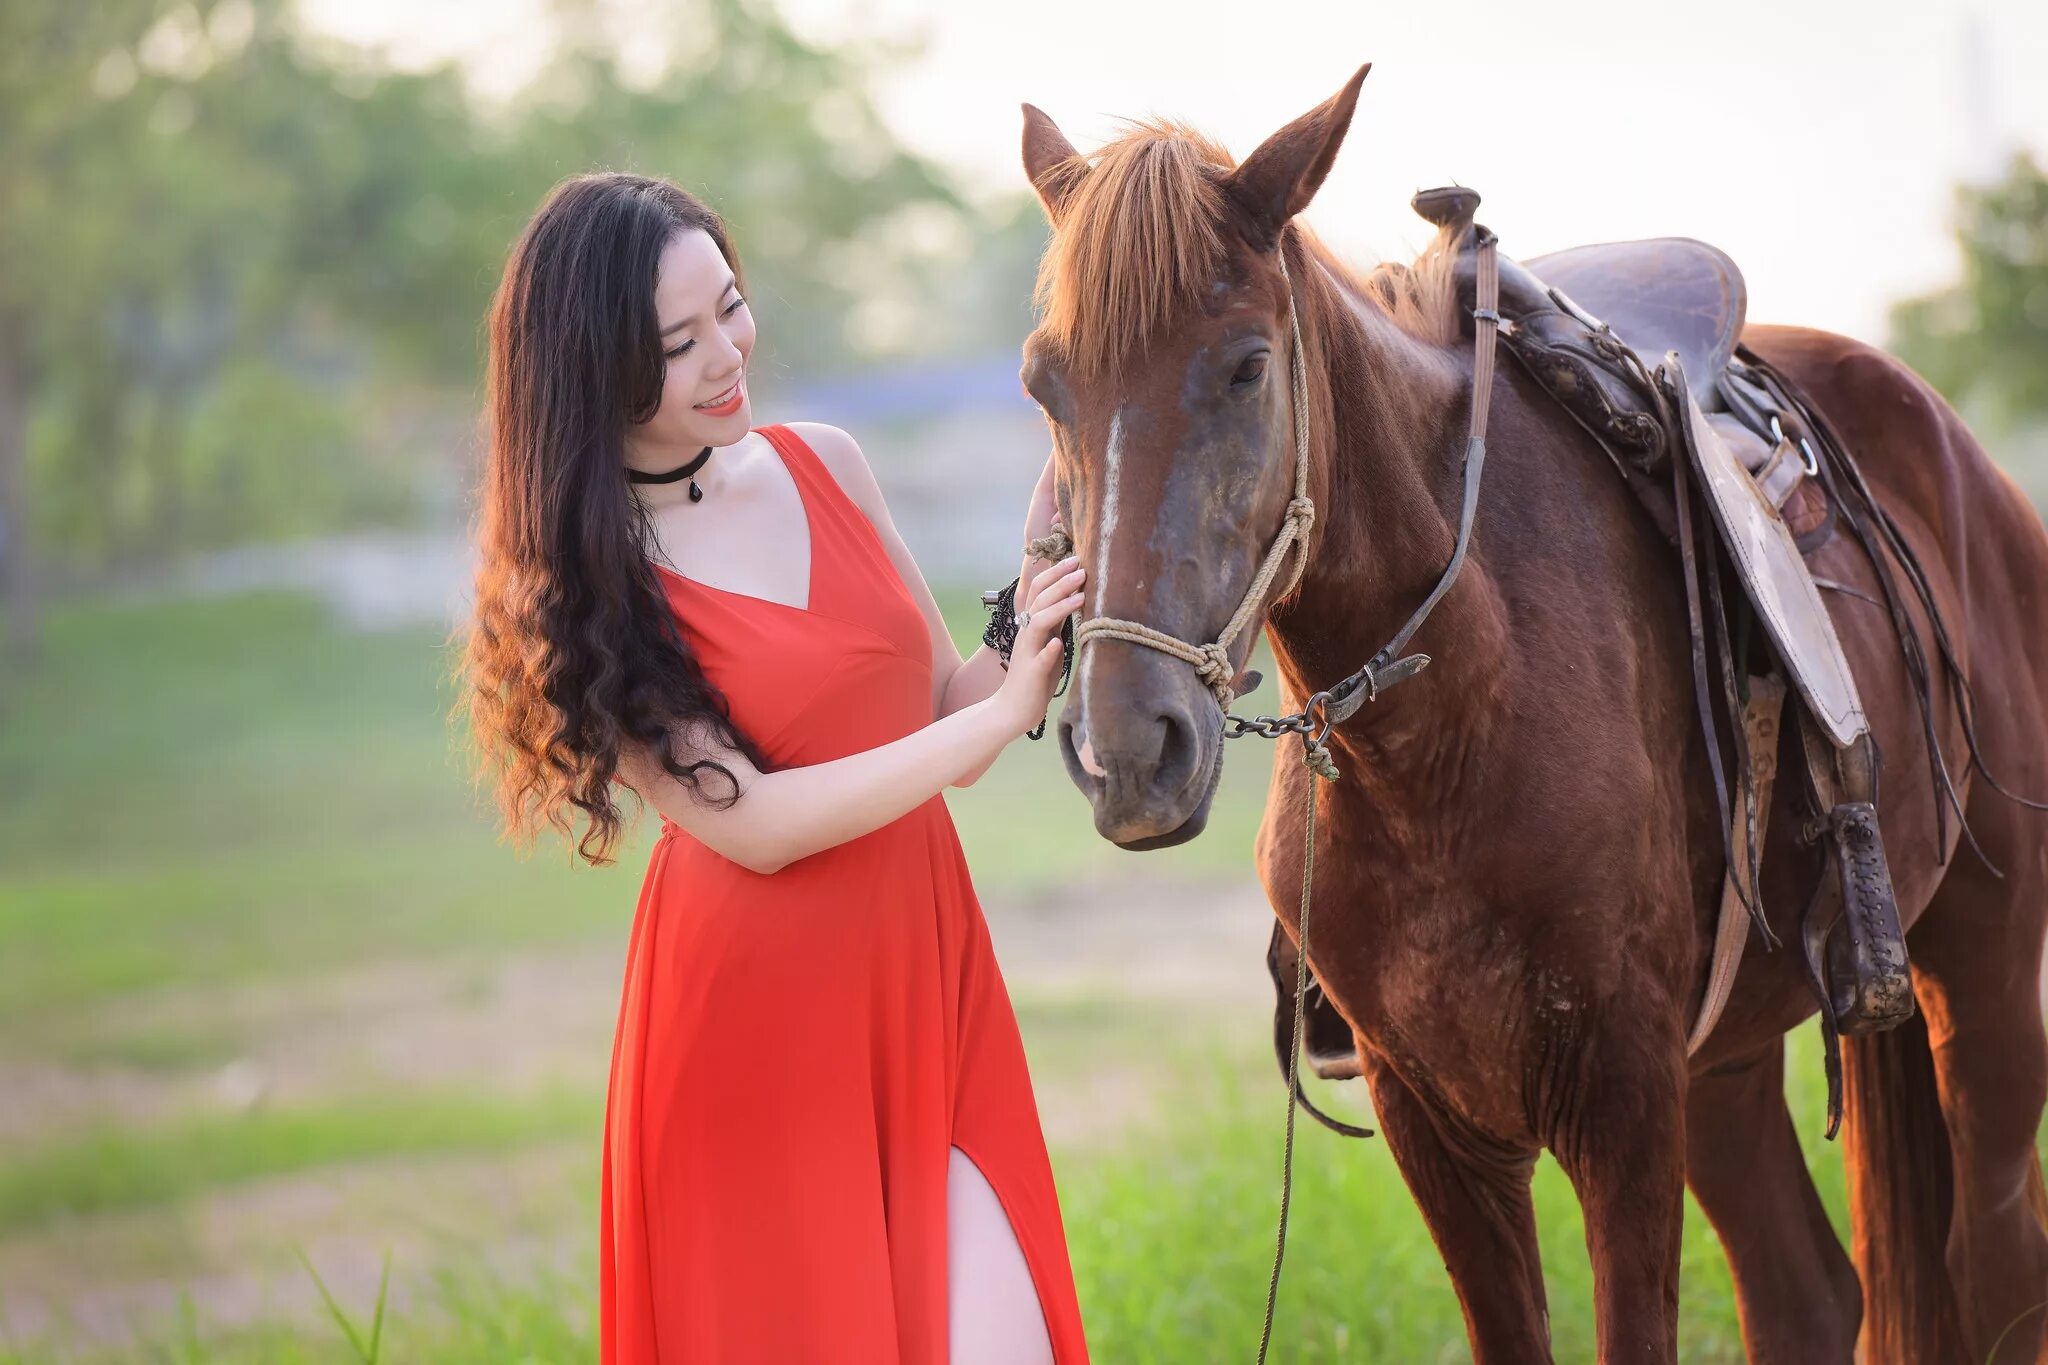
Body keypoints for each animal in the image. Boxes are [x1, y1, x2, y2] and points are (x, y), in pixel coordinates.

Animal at [1024, 69, 2048, 1365]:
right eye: (1042, 383)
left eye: (1248, 367)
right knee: (1806, 1293)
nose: (1125, 752)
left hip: (1983, 969)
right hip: (1724, 1064)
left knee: (1996, 1266)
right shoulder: (1437, 1124)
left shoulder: (1620, 1110)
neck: (1449, 732)